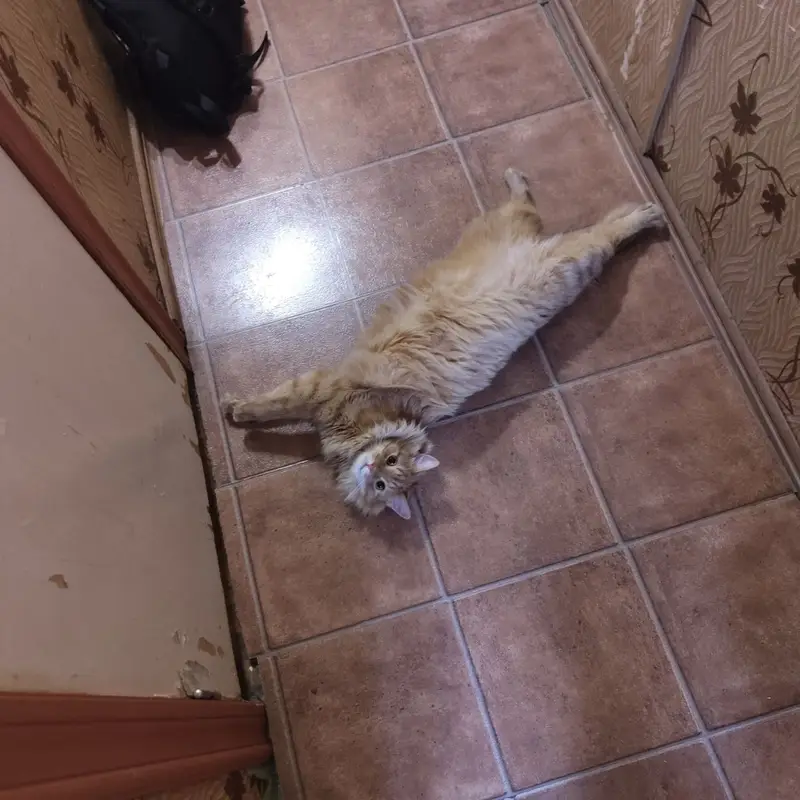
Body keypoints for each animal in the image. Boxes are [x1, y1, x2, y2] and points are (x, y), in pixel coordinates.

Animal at [226, 169, 666, 519]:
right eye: (387, 461)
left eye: (387, 479)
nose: (372, 471)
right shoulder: (321, 389)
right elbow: (271, 404)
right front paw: (237, 412)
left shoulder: (322, 396)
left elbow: (276, 406)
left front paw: (238, 415)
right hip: (529, 237)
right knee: (549, 210)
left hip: (576, 260)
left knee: (603, 228)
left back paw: (647, 213)